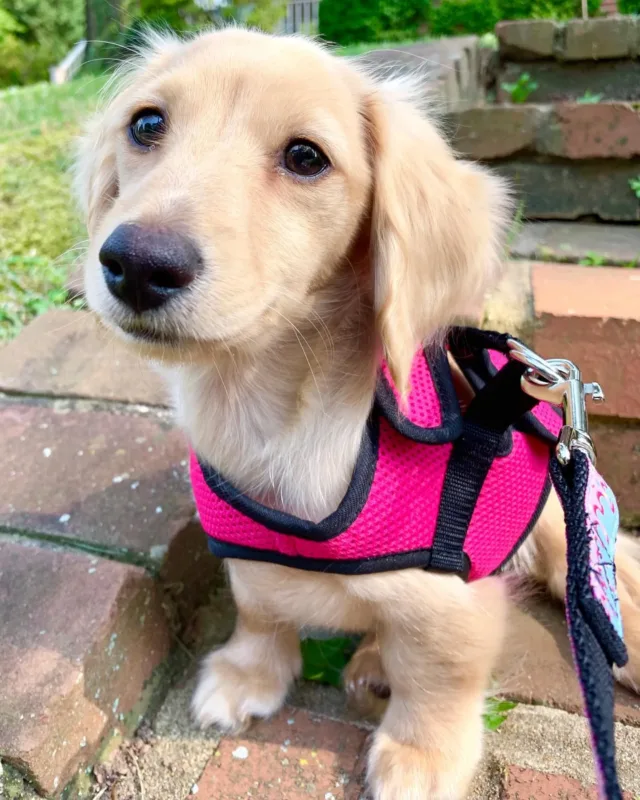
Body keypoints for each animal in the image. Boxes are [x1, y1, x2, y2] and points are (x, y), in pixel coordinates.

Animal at [76, 28, 640, 800]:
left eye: (306, 157)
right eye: (147, 124)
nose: (135, 264)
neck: (273, 420)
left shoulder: (453, 600)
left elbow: (438, 676)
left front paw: (422, 755)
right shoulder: (248, 554)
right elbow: (260, 606)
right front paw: (250, 672)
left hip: (563, 525)